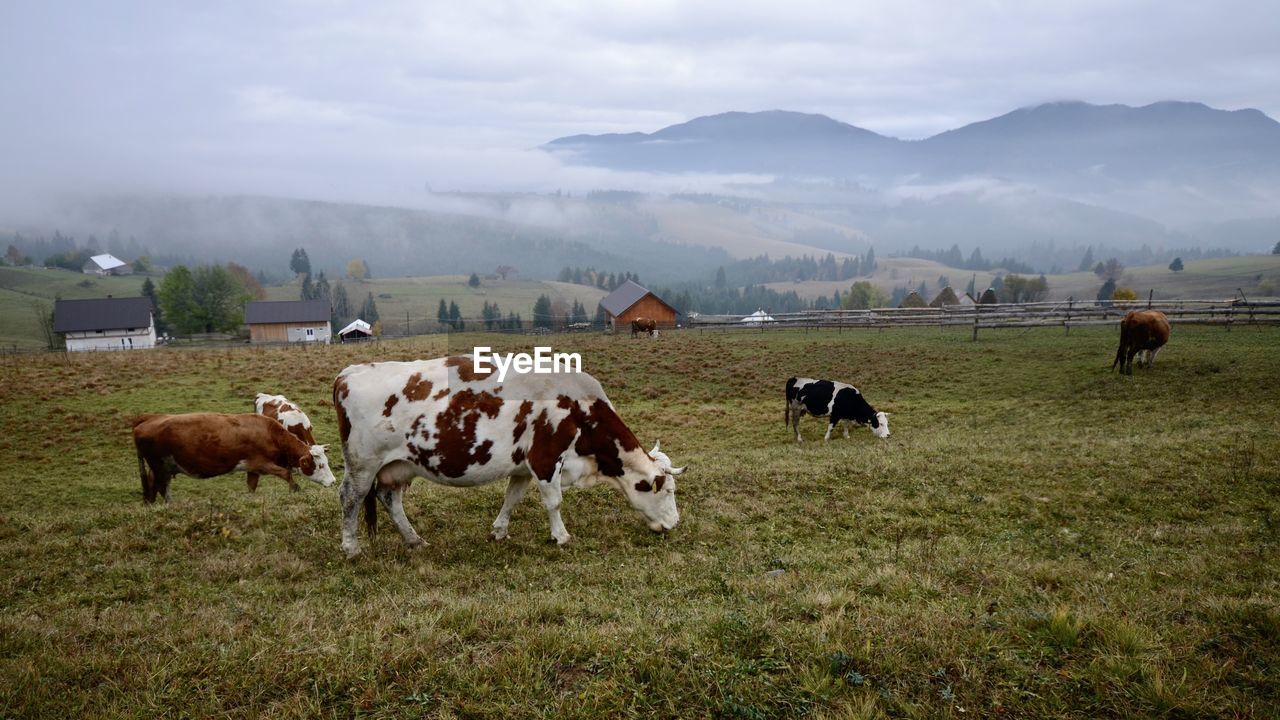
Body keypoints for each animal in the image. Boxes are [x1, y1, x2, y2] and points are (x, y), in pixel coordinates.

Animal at [131, 412, 335, 502]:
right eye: (320, 465)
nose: (333, 482)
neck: (269, 433)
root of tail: (146, 420)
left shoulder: (253, 469)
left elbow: (251, 486)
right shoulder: (262, 463)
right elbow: (286, 473)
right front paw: (295, 489)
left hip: (162, 467)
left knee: (156, 485)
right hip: (158, 465)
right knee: (160, 486)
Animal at [335, 353, 686, 556]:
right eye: (667, 490)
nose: (675, 523)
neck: (581, 409)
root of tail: (349, 373)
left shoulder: (522, 465)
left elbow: (512, 498)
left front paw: (499, 531)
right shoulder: (546, 458)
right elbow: (554, 502)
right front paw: (561, 536)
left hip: (398, 466)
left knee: (389, 499)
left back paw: (414, 540)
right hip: (363, 464)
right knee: (350, 497)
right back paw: (351, 548)